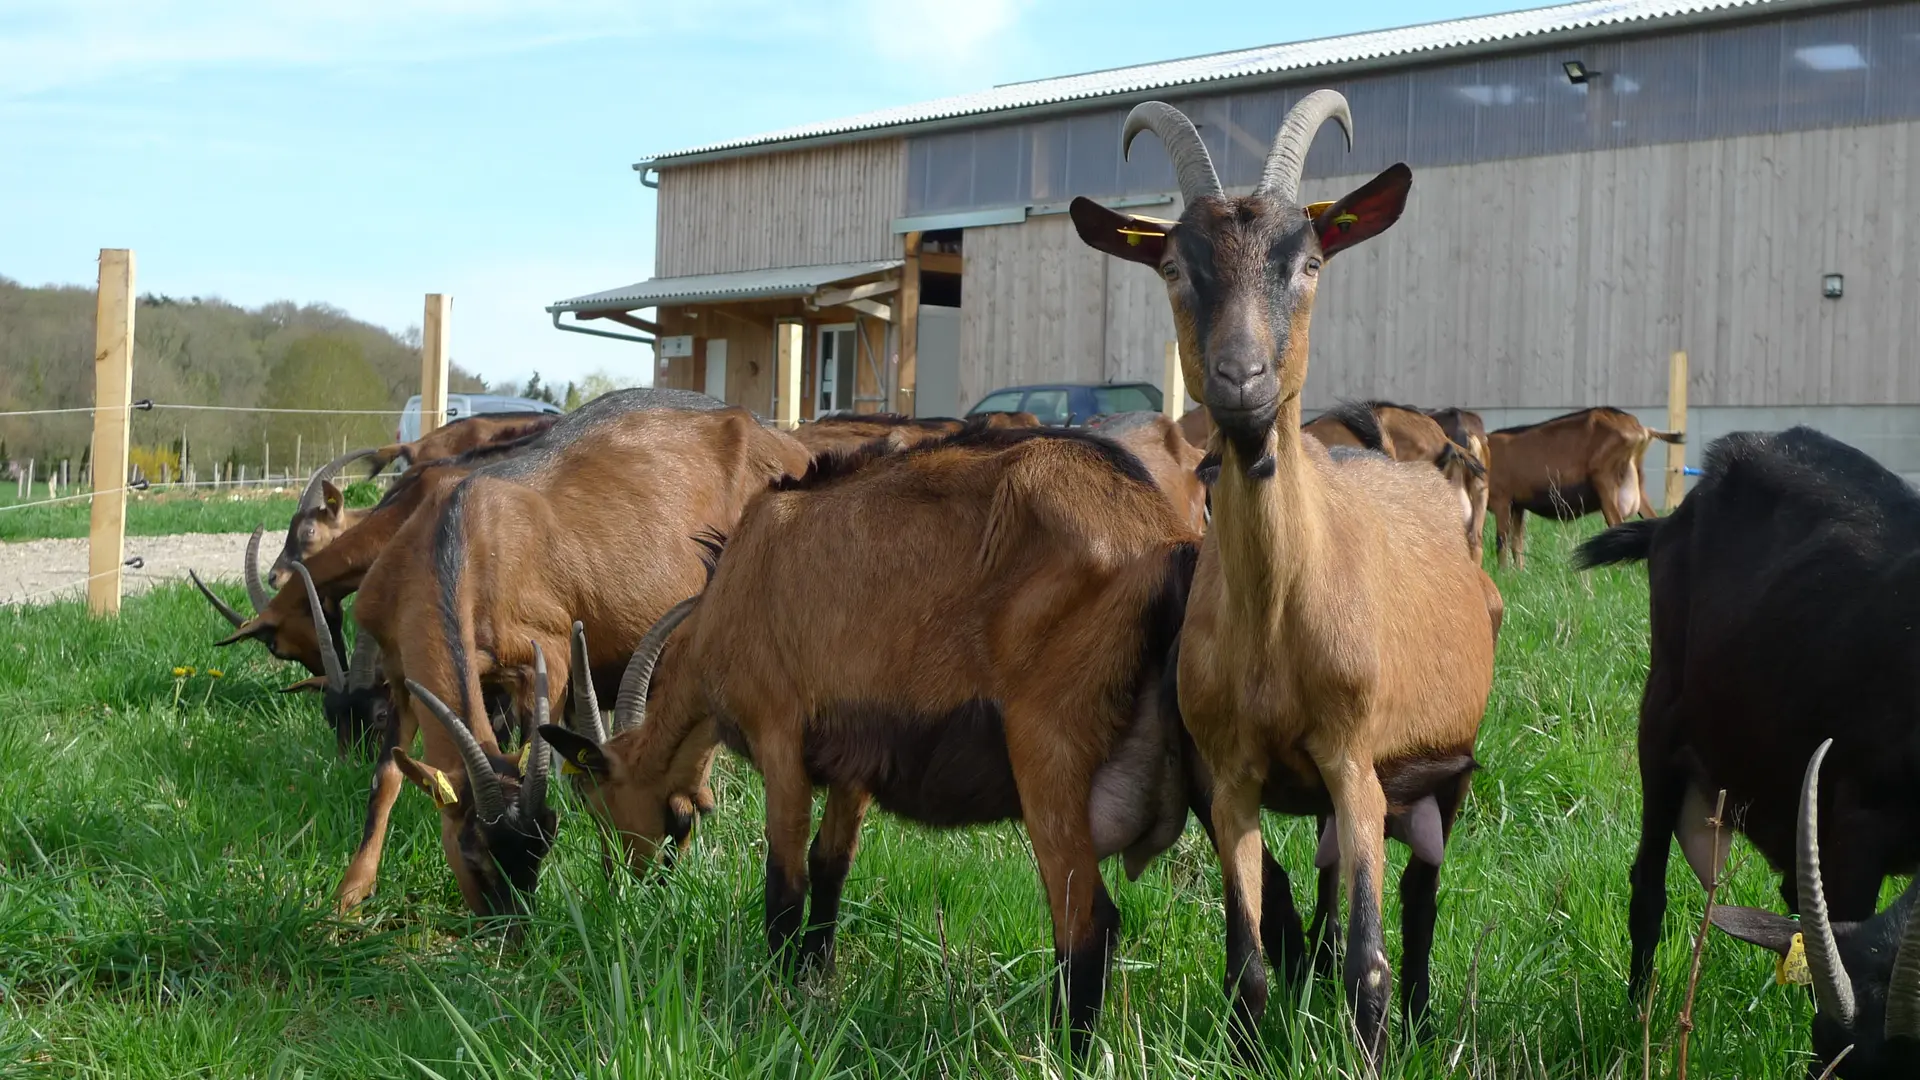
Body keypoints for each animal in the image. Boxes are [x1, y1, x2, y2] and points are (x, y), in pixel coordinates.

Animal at [337, 386, 802, 907]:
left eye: (541, 849)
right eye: (472, 854)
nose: (513, 926)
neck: (461, 537)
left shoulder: (548, 660)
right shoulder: (399, 668)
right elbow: (387, 777)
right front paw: (351, 894)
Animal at [541, 420, 1198, 1053]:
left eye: (596, 801)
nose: (623, 886)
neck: (730, 588)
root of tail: (1163, 539)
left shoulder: (780, 736)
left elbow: (785, 884)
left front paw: (777, 1003)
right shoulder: (854, 764)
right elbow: (829, 865)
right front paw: (817, 978)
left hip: (1047, 753)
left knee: (1086, 926)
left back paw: (1064, 1052)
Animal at [1482, 403, 1681, 568]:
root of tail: (1640, 430)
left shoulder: (1502, 500)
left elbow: (1501, 541)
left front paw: (1503, 574)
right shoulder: (1518, 506)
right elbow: (1518, 544)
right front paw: (1518, 573)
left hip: (1606, 482)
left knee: (1618, 529)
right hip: (1637, 483)